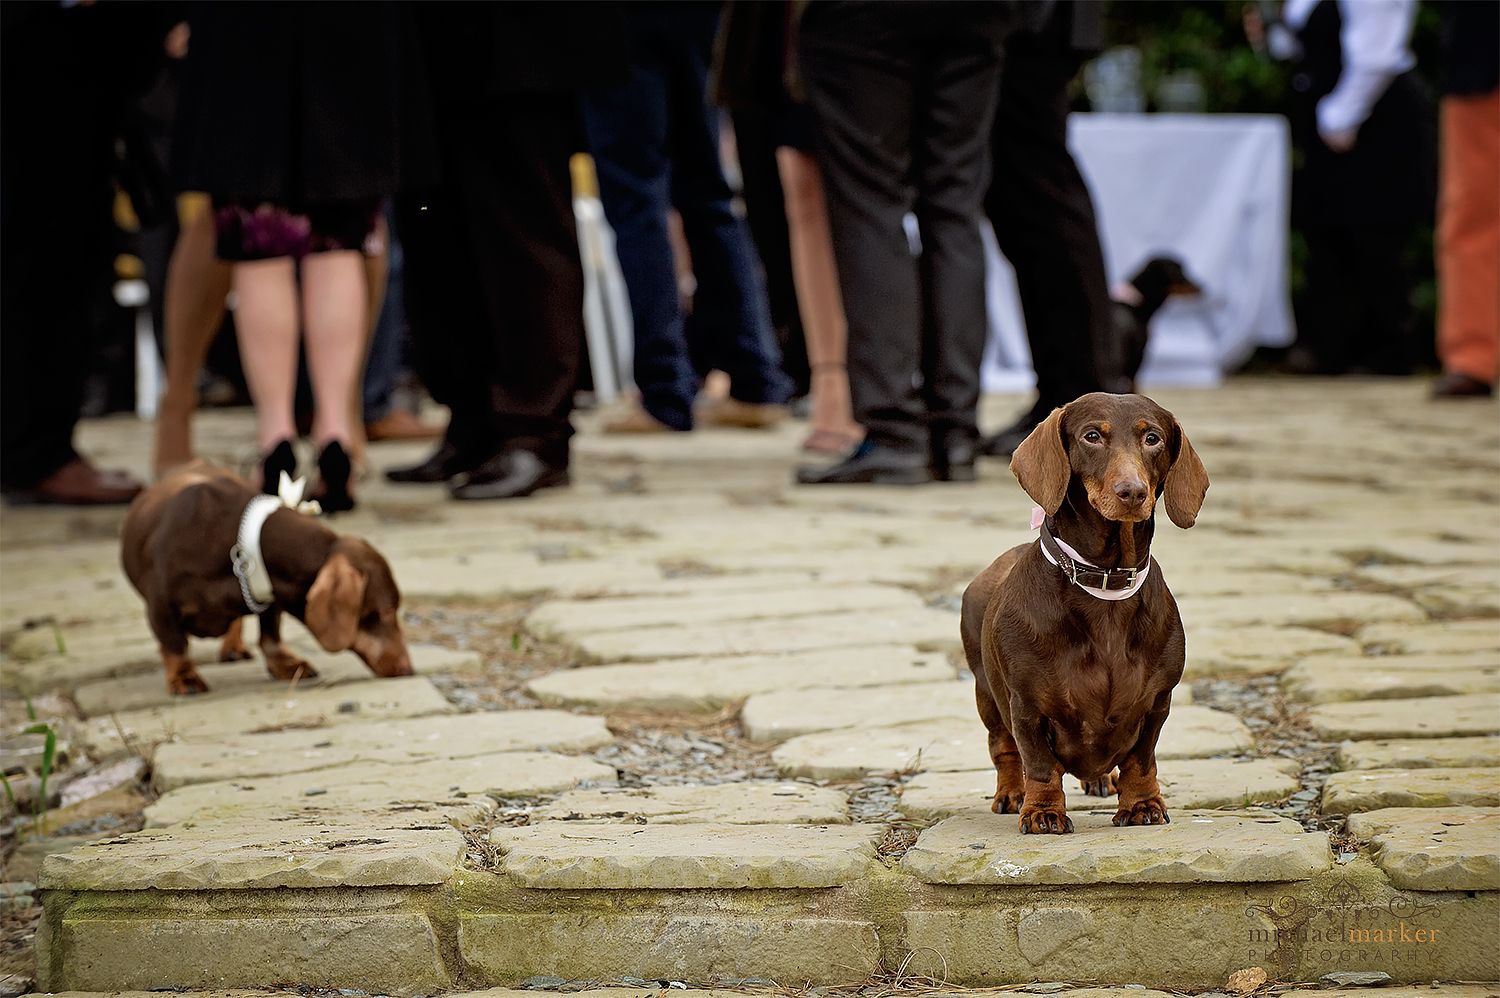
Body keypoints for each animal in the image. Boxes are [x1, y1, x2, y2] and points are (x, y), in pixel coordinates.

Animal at [120, 459, 414, 693]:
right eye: (387, 610)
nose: (409, 669)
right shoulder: (160, 607)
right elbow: (174, 645)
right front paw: (185, 678)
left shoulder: (264, 590)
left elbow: (270, 636)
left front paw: (286, 664)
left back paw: (233, 645)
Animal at [960, 393, 1206, 828]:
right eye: (1092, 436)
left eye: (1153, 438)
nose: (1132, 492)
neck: (1103, 581)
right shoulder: (1027, 708)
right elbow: (1039, 764)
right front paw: (1042, 812)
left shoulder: (1157, 702)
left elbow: (1141, 760)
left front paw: (1141, 804)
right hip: (986, 693)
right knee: (1003, 749)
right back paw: (1012, 793)